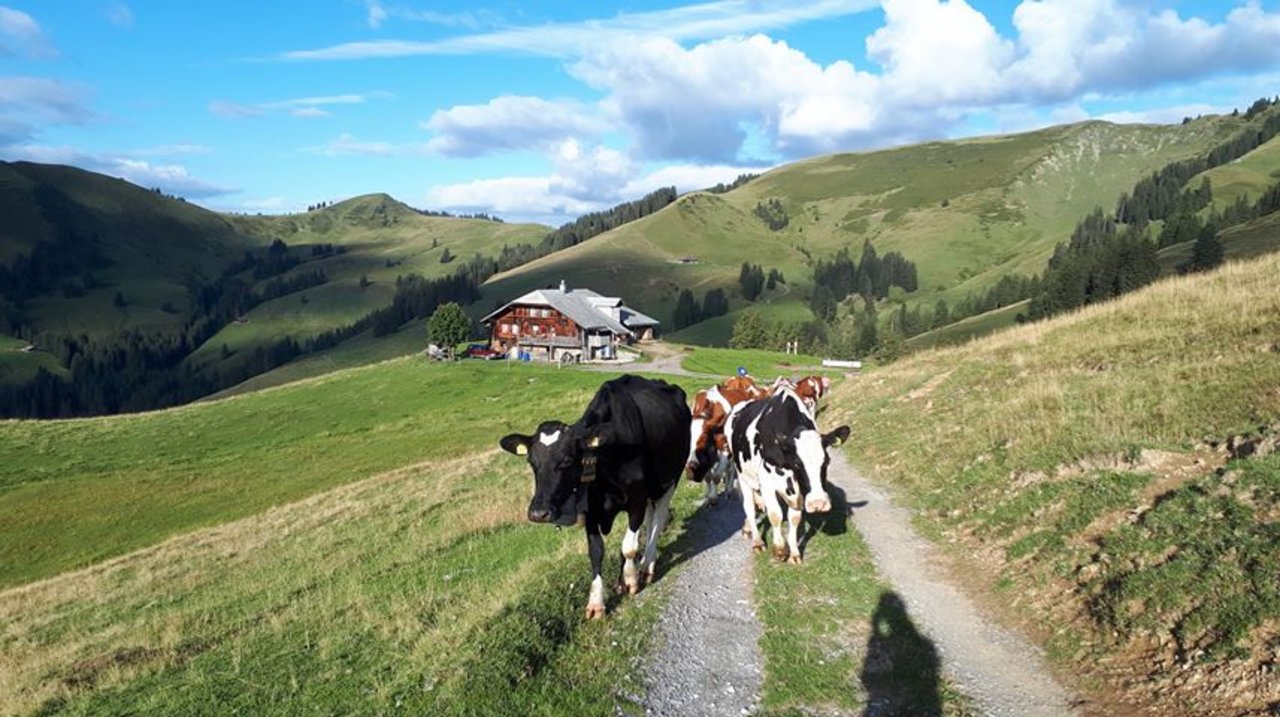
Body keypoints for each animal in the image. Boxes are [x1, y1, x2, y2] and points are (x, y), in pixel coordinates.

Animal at [494, 376, 691, 617]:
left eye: (567, 460)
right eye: (532, 462)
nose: (538, 513)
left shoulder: (637, 499)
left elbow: (629, 546)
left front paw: (631, 580)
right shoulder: (590, 509)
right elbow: (596, 552)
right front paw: (596, 603)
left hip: (671, 479)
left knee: (657, 521)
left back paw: (646, 566)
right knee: (651, 518)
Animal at [721, 386, 849, 560]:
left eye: (827, 462)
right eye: (797, 464)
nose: (818, 504)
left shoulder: (798, 490)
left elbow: (794, 518)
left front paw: (794, 553)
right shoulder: (767, 483)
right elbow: (775, 515)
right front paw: (780, 549)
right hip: (741, 473)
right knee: (749, 505)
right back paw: (757, 541)